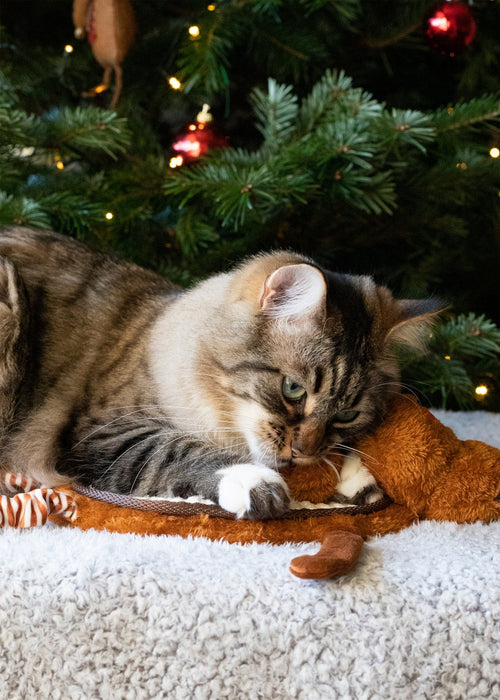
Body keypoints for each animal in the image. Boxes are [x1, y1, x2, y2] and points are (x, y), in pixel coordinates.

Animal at [0, 227, 438, 516]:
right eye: (293, 389)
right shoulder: (107, 431)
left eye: (346, 414)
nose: (302, 452)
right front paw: (254, 482)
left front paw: (356, 475)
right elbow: (178, 448)